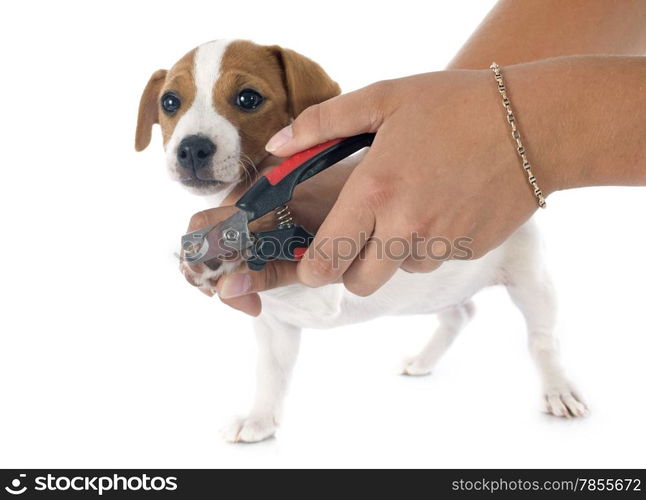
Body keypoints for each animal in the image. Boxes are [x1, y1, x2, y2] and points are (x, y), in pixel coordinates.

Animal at [135, 41, 588, 444]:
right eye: (170, 102)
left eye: (248, 98)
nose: (192, 148)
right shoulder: (273, 324)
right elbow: (271, 374)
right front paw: (260, 421)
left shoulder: (320, 292)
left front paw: (221, 260)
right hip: (433, 291)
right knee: (461, 313)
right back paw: (423, 359)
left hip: (531, 280)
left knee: (542, 339)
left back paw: (558, 389)